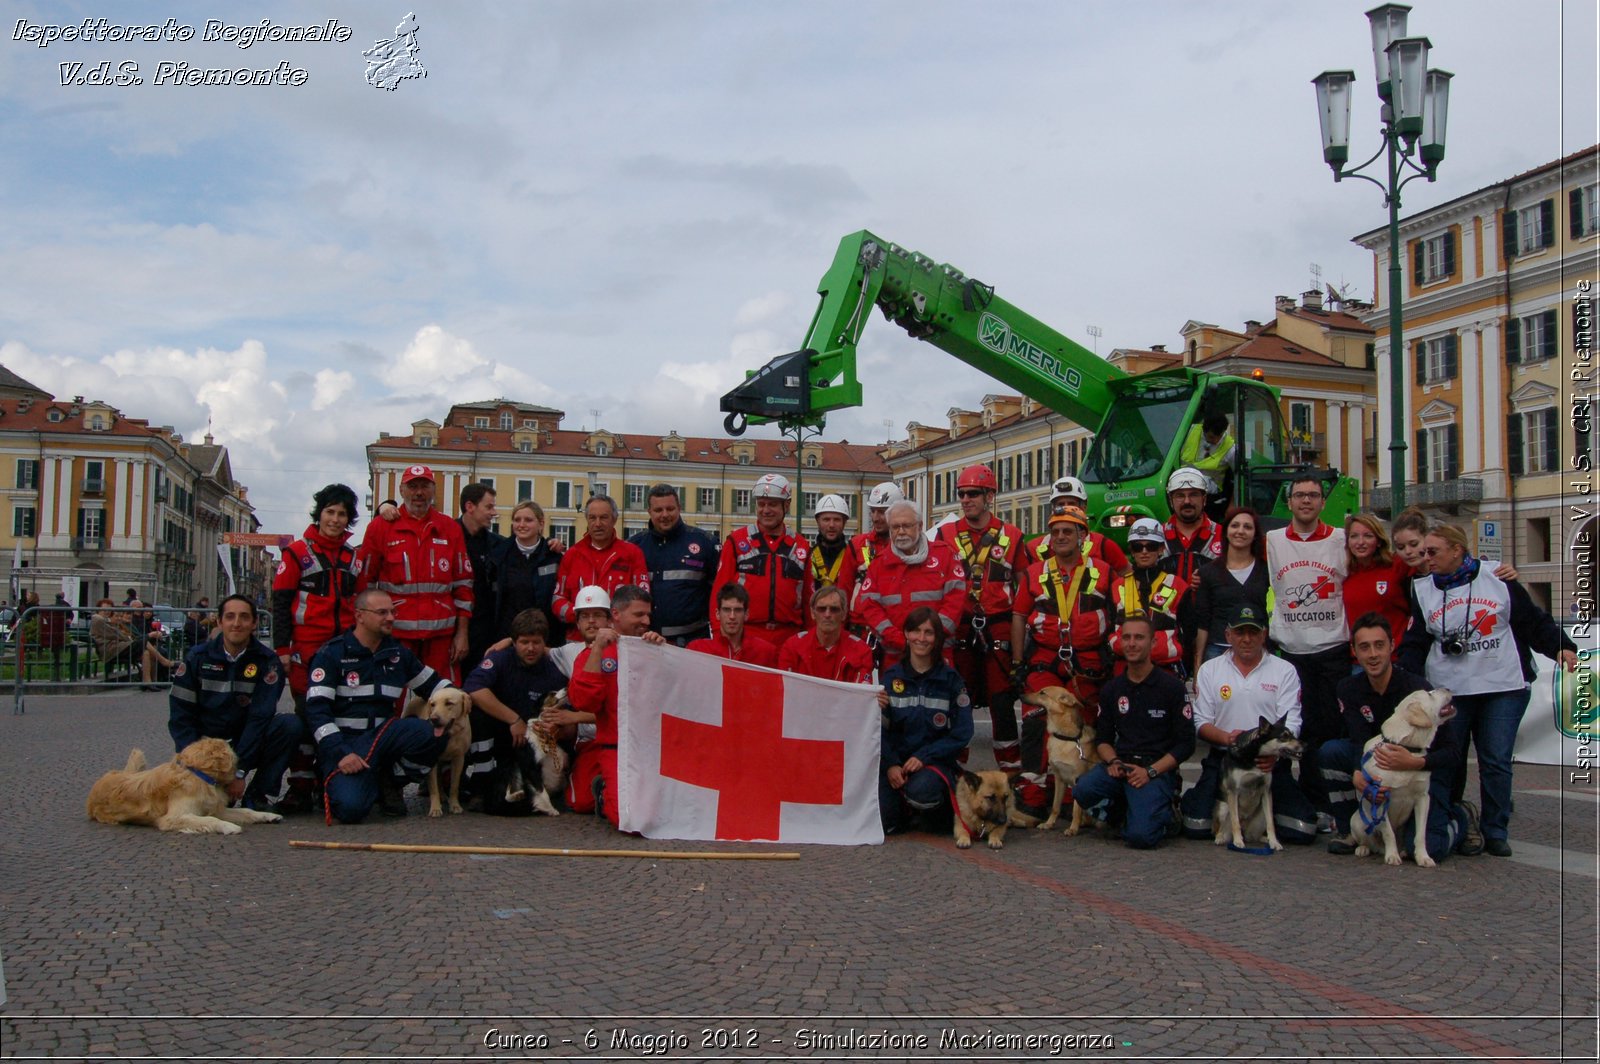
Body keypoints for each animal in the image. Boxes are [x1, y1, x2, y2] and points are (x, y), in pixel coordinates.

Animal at [84, 736, 281, 832]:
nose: (240, 771)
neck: (198, 774)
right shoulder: (173, 818)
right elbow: (211, 819)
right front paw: (228, 827)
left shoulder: (217, 809)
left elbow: (246, 811)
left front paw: (268, 816)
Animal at [403, 684, 470, 816]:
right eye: (433, 705)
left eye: (449, 703)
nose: (433, 719)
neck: (449, 735)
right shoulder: (431, 759)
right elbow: (433, 787)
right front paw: (435, 808)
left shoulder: (459, 759)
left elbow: (454, 785)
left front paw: (455, 805)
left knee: (440, 778)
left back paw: (443, 796)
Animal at [1216, 713, 1305, 857]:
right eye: (1284, 737)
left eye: (1292, 734)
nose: (1306, 744)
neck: (1253, 756)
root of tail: (1245, 825)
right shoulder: (1233, 791)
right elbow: (1235, 822)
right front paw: (1238, 841)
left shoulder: (1266, 791)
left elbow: (1271, 824)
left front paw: (1274, 842)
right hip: (1223, 808)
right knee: (1222, 827)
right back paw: (1221, 838)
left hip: (1260, 817)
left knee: (1254, 835)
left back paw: (1265, 839)